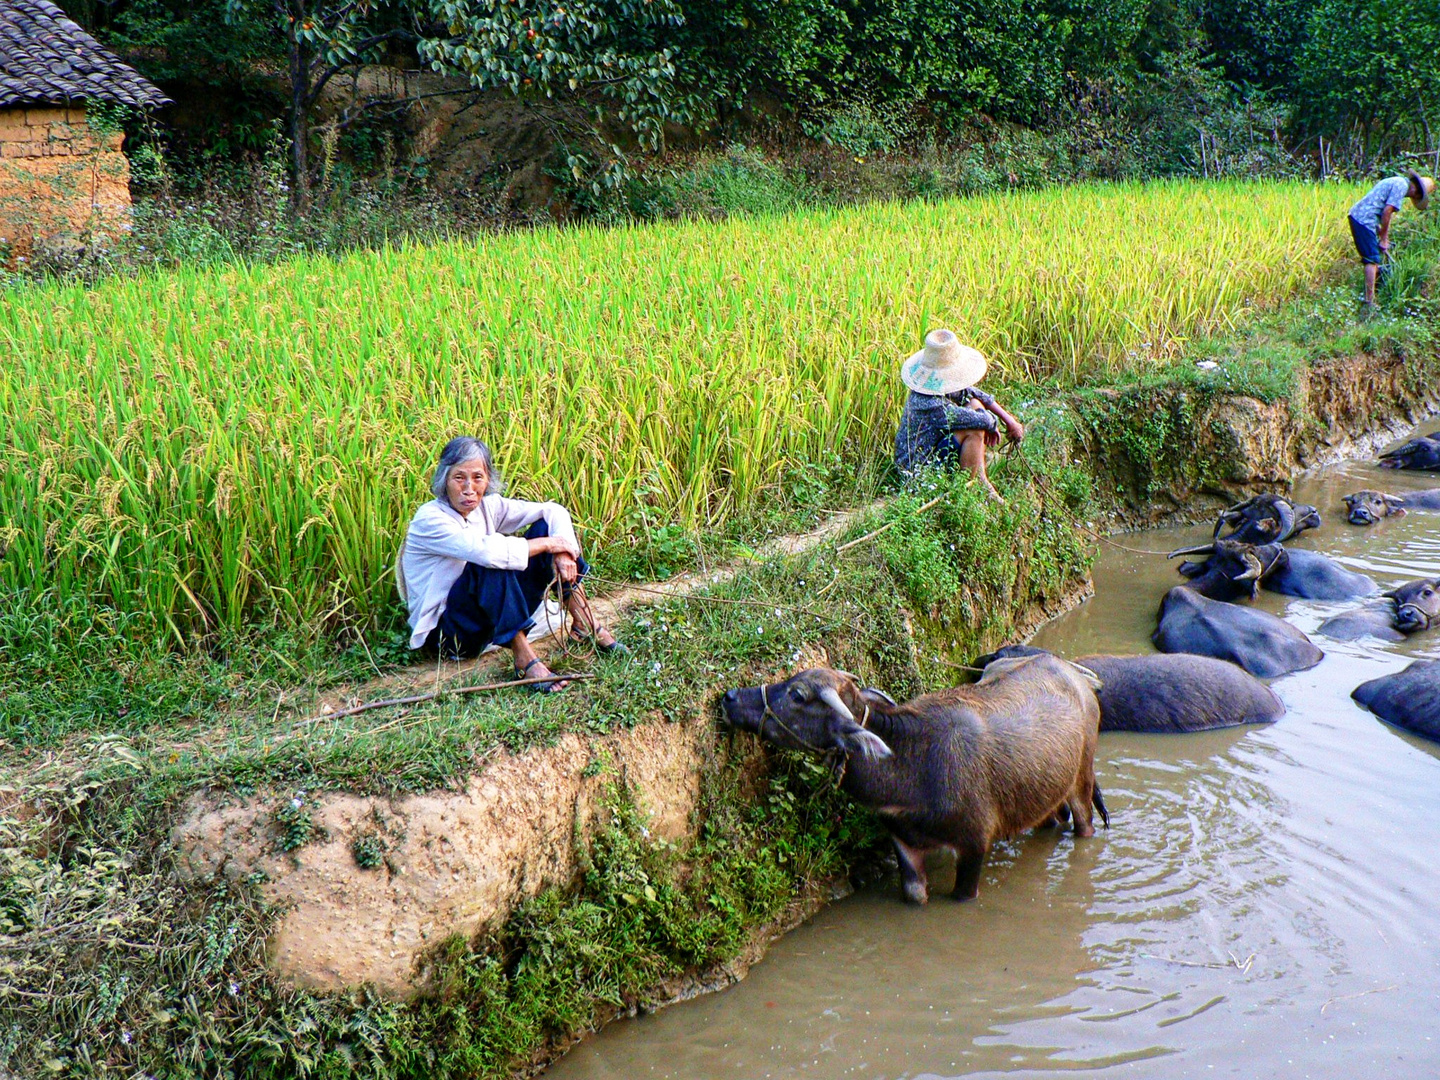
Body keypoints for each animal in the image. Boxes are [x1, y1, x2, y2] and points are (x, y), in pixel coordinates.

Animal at [717, 659, 1100, 904]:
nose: (730, 696)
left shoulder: (974, 846)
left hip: (1082, 779)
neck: (913, 763)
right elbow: (915, 896)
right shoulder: (903, 841)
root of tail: (1076, 677)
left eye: (797, 695)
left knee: (1084, 822)